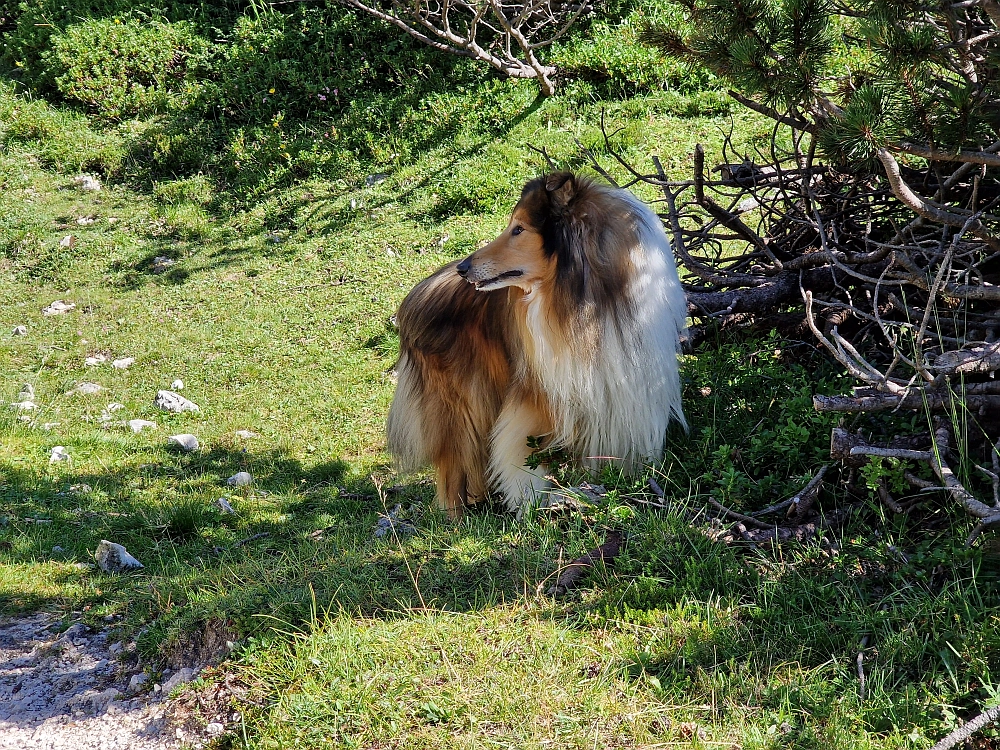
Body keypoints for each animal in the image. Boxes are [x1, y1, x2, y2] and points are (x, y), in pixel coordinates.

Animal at [384, 170, 688, 516]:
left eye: (519, 229)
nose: (463, 268)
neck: (587, 298)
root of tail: (413, 295)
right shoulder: (540, 390)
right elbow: (523, 450)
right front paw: (536, 500)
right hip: (460, 406)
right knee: (453, 466)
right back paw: (458, 516)